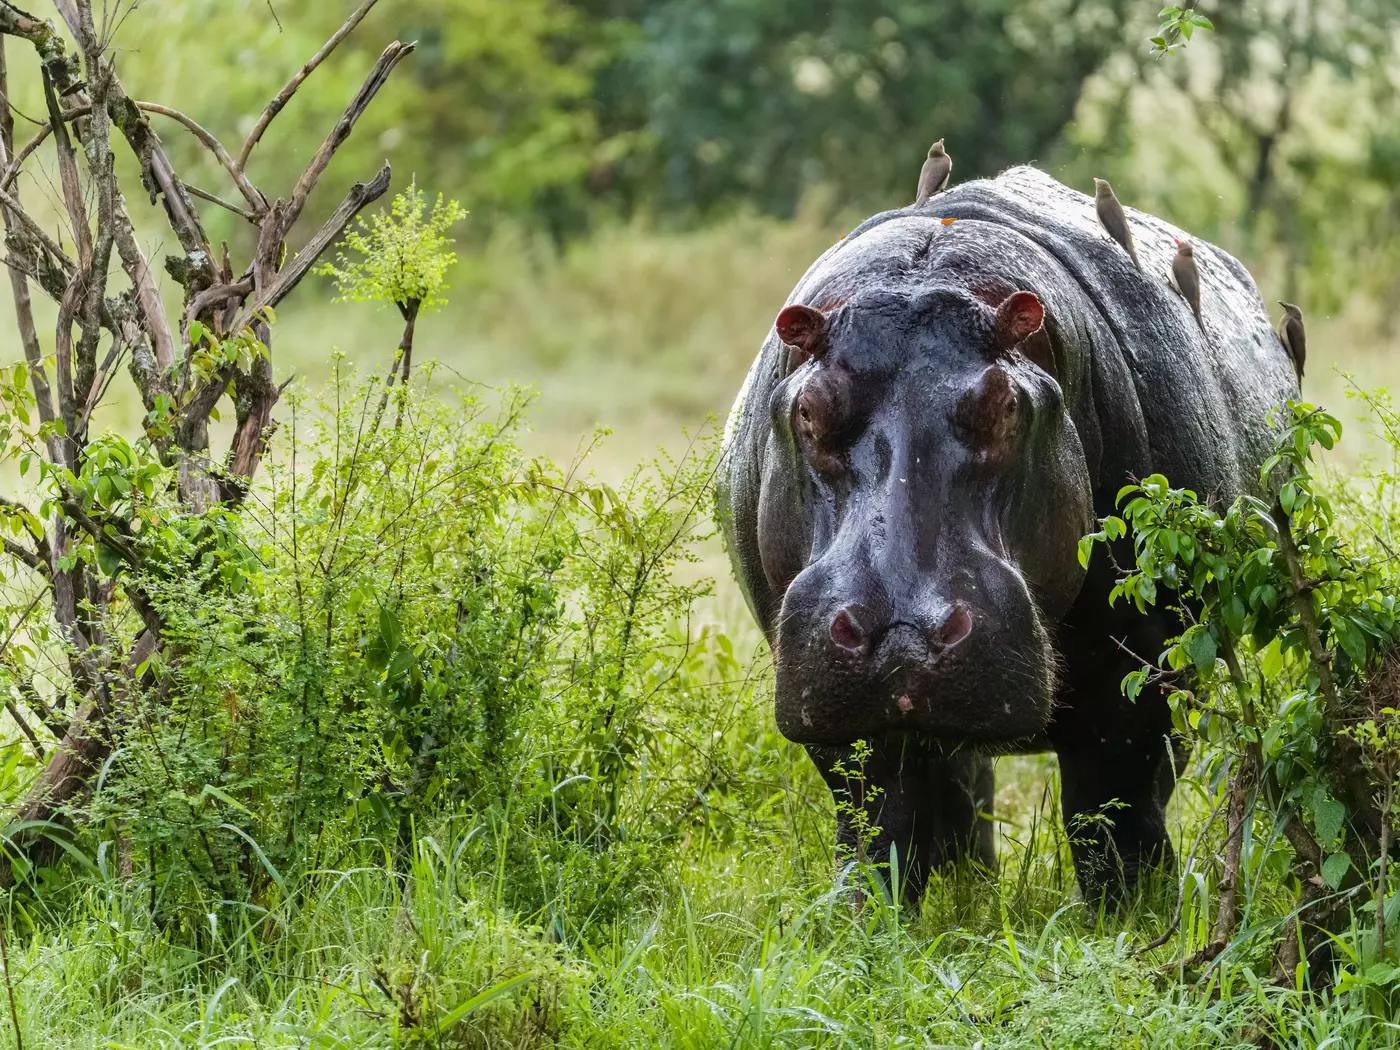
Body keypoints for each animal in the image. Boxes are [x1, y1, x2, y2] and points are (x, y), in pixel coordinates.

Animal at [717, 166, 1298, 902]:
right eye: (810, 411)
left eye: (1006, 407)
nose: (902, 633)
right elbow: (877, 810)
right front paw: (858, 915)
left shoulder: (1148, 659)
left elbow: (1114, 798)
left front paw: (1130, 913)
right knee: (957, 782)